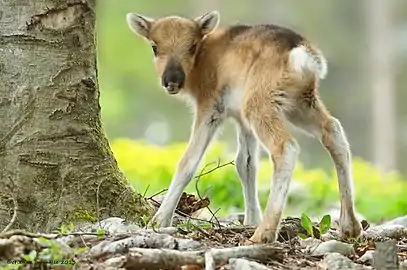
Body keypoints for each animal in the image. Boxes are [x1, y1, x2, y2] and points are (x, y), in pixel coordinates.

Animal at [126, 10, 362, 243]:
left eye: (193, 46)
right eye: (154, 47)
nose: (172, 80)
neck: (202, 63)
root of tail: (303, 55)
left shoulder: (210, 108)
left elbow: (188, 162)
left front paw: (158, 221)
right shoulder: (241, 120)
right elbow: (246, 163)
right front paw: (250, 219)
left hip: (260, 103)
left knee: (286, 147)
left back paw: (264, 233)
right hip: (301, 103)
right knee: (333, 130)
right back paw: (349, 226)